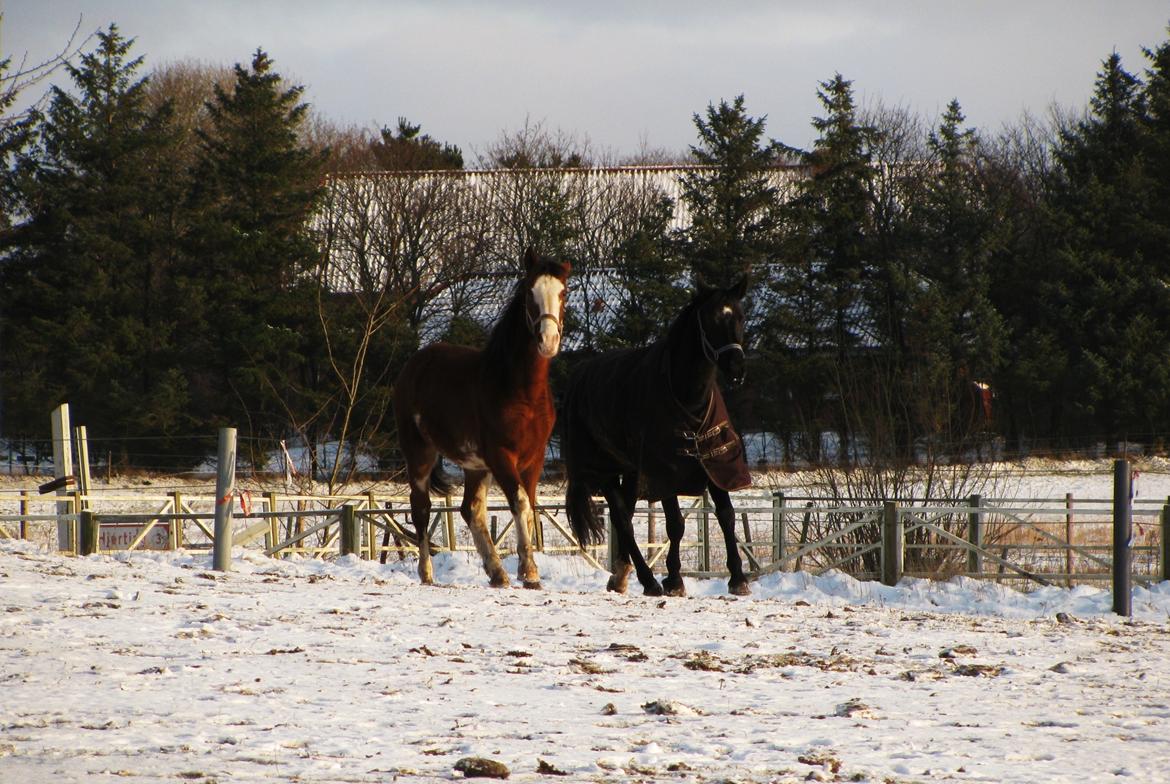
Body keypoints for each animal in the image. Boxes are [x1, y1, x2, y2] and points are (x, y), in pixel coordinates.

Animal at [393, 250, 570, 589]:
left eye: (563, 293)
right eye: (529, 294)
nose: (548, 340)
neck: (520, 390)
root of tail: (414, 364)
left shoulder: (534, 458)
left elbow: (529, 508)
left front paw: (524, 572)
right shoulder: (501, 456)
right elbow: (519, 503)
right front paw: (529, 572)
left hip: (475, 466)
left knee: (470, 510)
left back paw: (497, 572)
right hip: (420, 454)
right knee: (421, 508)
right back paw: (427, 573)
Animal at [561, 276, 753, 596]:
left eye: (739, 316)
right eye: (710, 319)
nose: (737, 368)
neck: (688, 397)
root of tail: (579, 374)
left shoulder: (716, 463)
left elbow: (726, 514)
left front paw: (738, 578)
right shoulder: (665, 471)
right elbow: (675, 524)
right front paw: (674, 579)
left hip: (630, 471)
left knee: (623, 515)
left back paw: (621, 575)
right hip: (606, 471)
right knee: (622, 520)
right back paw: (647, 579)